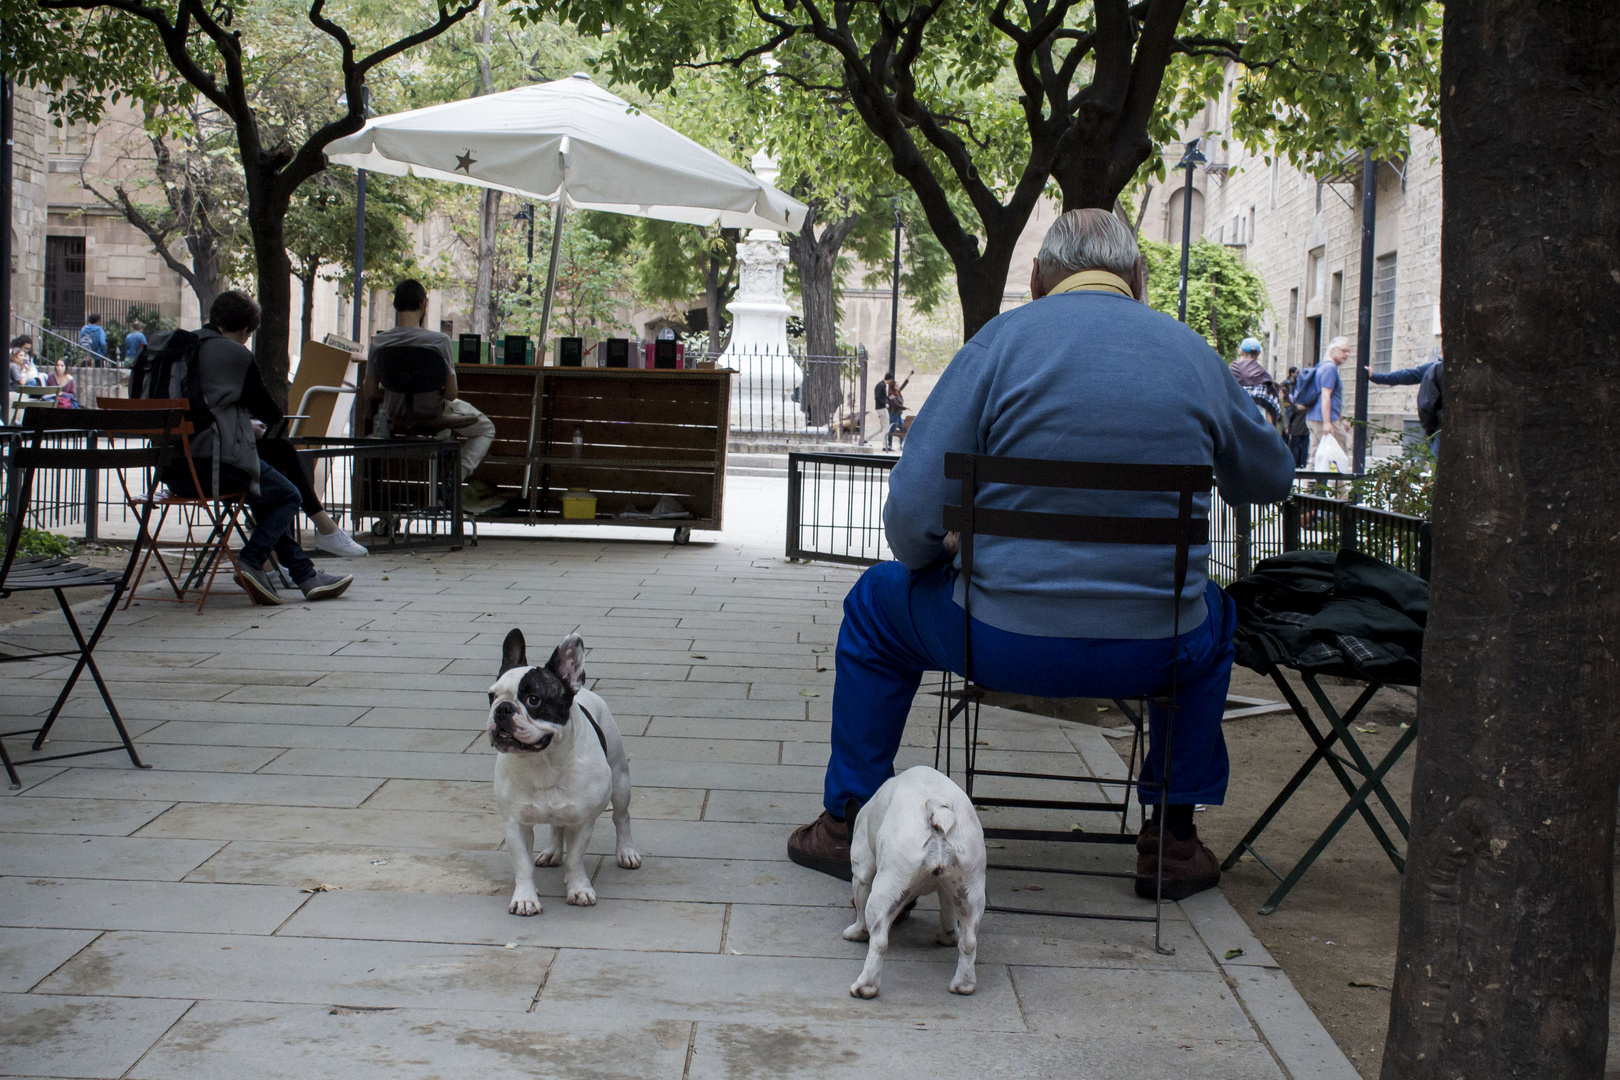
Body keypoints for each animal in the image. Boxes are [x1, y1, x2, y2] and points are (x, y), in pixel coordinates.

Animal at [486, 628, 638, 919]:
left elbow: (575, 860)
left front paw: (578, 889)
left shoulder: (582, 823)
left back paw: (626, 852)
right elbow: (523, 865)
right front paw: (525, 898)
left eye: (533, 699)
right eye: (491, 696)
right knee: (556, 825)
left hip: (621, 780)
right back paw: (551, 852)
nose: (502, 709)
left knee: (621, 817)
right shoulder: (515, 825)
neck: (544, 762)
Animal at [848, 764, 984, 1003]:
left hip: (886, 888)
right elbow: (947, 911)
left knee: (879, 940)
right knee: (969, 939)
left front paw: (857, 933)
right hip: (969, 888)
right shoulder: (948, 887)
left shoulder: (861, 866)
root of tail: (935, 806)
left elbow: (861, 906)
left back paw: (865, 986)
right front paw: (948, 935)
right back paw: (963, 984)